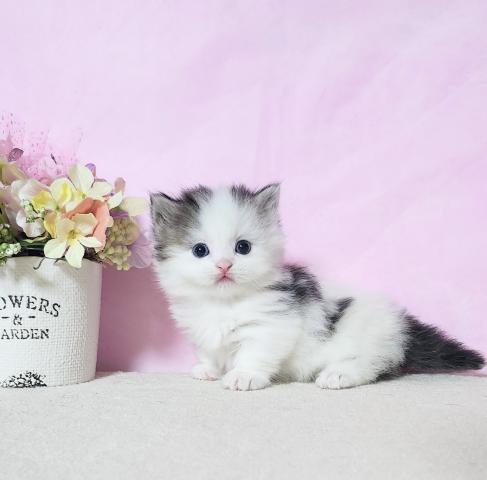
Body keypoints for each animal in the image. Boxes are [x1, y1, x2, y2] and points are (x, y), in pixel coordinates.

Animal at [151, 184, 484, 391]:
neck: (223, 302)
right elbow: (209, 350)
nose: (224, 266)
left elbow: (255, 352)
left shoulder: (273, 325)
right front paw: (208, 369)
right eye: (200, 251)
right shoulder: (199, 328)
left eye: (243, 247)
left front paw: (243, 376)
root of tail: (401, 323)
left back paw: (340, 374)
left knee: (372, 364)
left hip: (367, 337)